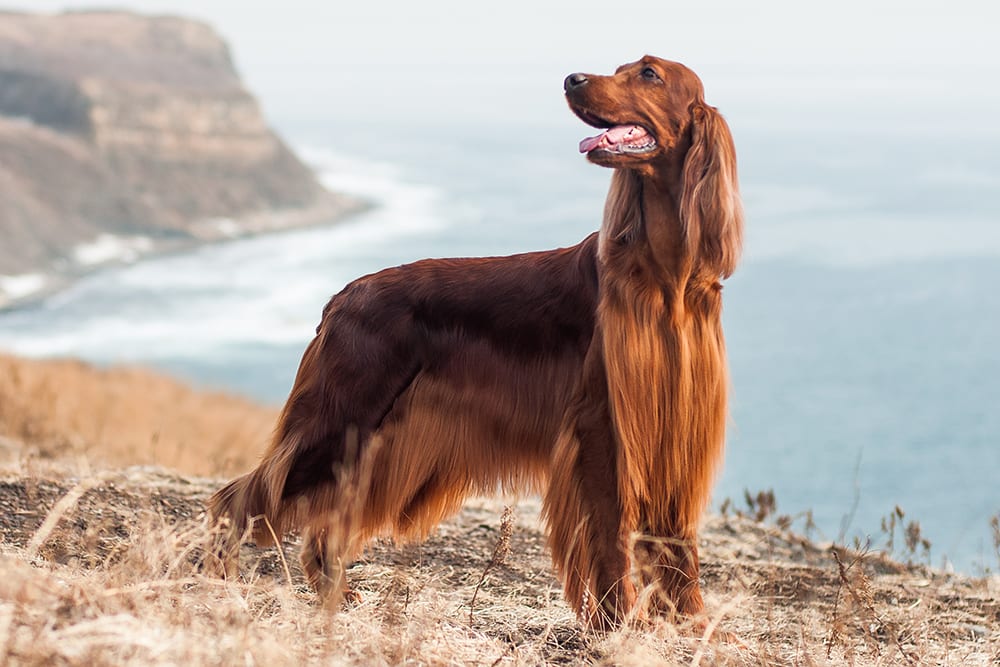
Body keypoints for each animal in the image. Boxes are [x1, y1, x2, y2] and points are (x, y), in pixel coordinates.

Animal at [209, 54, 744, 628]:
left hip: (370, 440)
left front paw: (694, 625)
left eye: (648, 73)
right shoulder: (604, 424)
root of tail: (344, 294)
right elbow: (610, 534)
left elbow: (677, 541)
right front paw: (619, 622)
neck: (666, 279)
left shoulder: (678, 425)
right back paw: (217, 580)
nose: (572, 79)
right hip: (340, 417)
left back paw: (335, 593)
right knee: (237, 499)